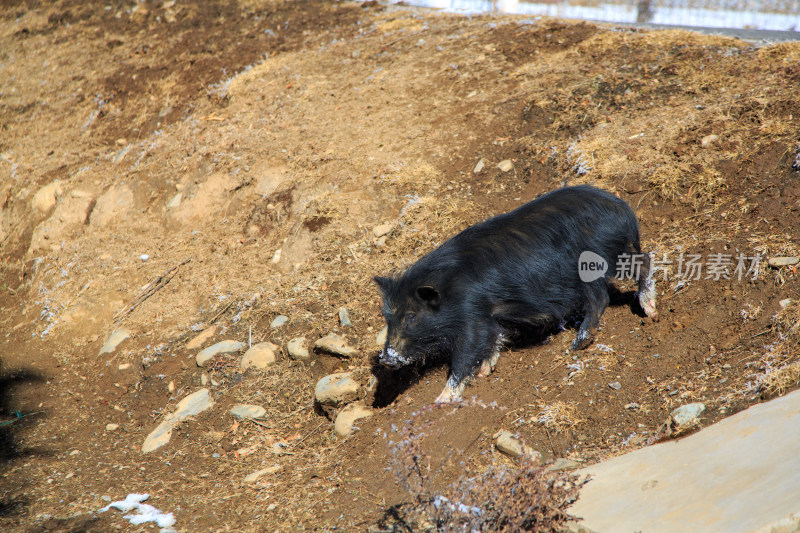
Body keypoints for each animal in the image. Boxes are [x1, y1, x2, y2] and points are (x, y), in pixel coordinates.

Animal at [376, 185, 656, 402]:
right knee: (643, 260)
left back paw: (583, 341)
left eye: (412, 316)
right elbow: (494, 338)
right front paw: (485, 372)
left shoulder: (473, 314)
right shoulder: (489, 317)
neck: (449, 290)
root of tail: (622, 210)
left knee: (602, 296)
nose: (386, 359)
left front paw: (441, 401)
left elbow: (467, 352)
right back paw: (650, 313)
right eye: (388, 318)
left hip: (591, 265)